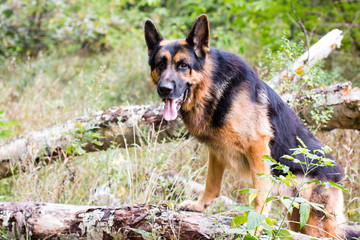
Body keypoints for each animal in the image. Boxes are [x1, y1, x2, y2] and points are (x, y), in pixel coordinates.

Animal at [145, 14, 358, 238]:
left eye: (183, 65)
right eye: (160, 64)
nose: (164, 89)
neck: (213, 88)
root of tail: (338, 178)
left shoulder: (257, 147)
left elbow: (259, 193)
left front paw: (257, 224)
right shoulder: (217, 150)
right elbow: (212, 183)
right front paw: (199, 206)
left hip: (313, 220)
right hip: (297, 219)